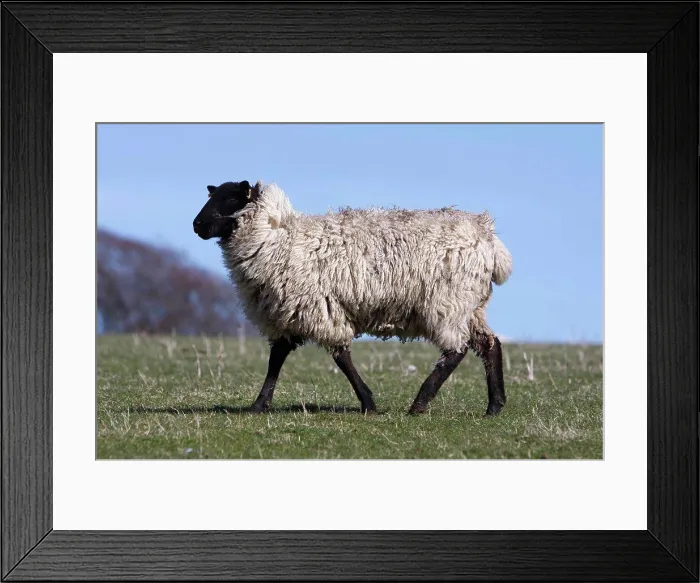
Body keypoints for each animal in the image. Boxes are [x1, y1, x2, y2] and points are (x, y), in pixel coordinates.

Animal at [192, 179, 513, 416]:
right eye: (213, 195)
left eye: (231, 199)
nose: (196, 225)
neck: (278, 237)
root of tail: (488, 236)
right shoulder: (290, 312)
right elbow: (277, 358)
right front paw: (259, 405)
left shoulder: (318, 307)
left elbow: (340, 357)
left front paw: (368, 403)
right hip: (470, 306)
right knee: (489, 344)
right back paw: (494, 407)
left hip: (448, 302)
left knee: (457, 350)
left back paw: (420, 403)